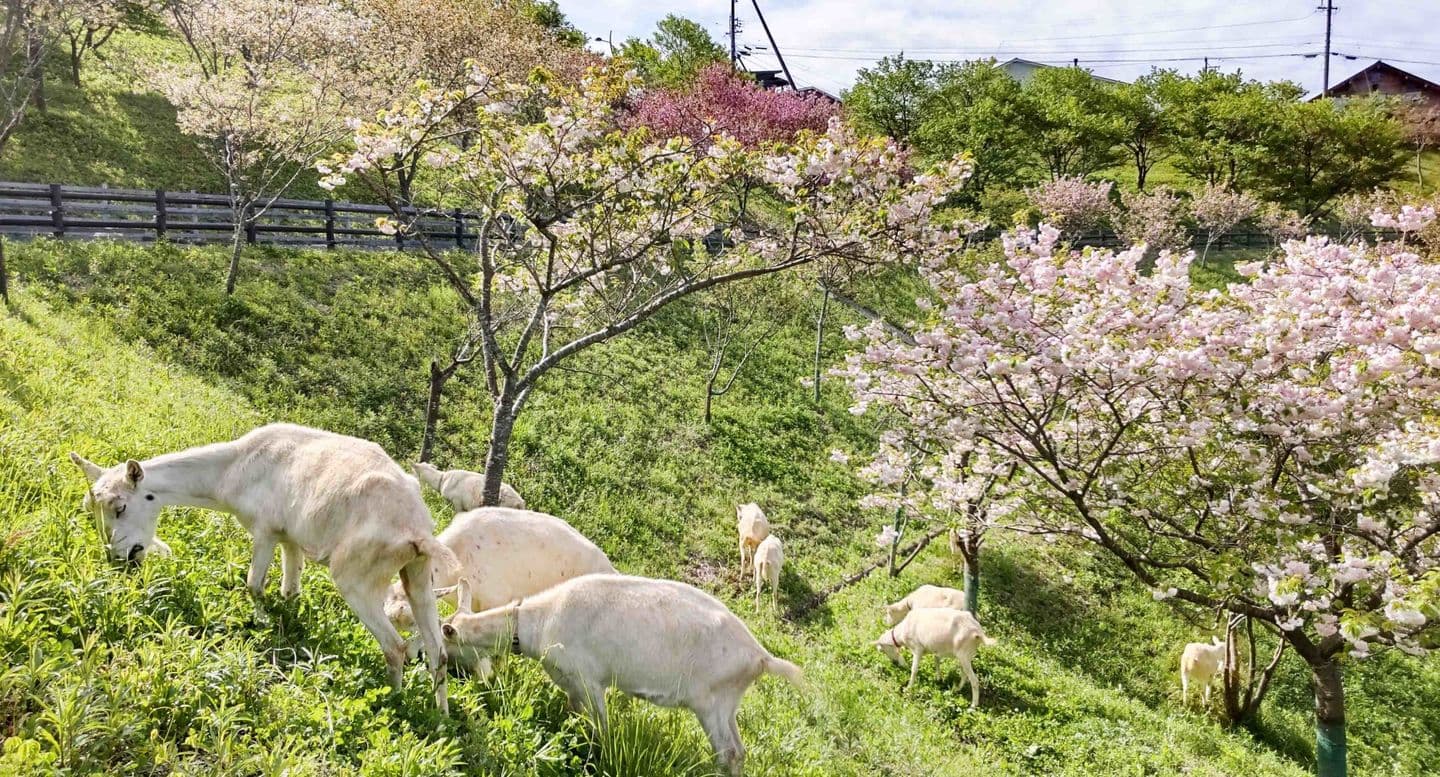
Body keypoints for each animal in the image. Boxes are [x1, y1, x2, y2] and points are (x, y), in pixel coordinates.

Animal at [70, 423, 455, 713]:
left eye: (121, 506)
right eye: (93, 510)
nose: (122, 556)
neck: (233, 467)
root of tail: (416, 531)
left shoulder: (265, 530)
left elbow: (253, 584)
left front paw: (262, 622)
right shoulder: (290, 538)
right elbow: (290, 589)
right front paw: (288, 628)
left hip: (356, 577)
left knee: (396, 646)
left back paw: (396, 702)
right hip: (418, 574)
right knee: (438, 652)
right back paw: (440, 716)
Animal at [440, 572, 800, 771]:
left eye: (448, 648)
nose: (464, 679)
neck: (538, 622)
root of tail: (759, 656)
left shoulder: (588, 680)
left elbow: (601, 727)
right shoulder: (571, 684)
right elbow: (575, 716)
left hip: (710, 703)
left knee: (729, 753)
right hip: (727, 706)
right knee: (739, 751)